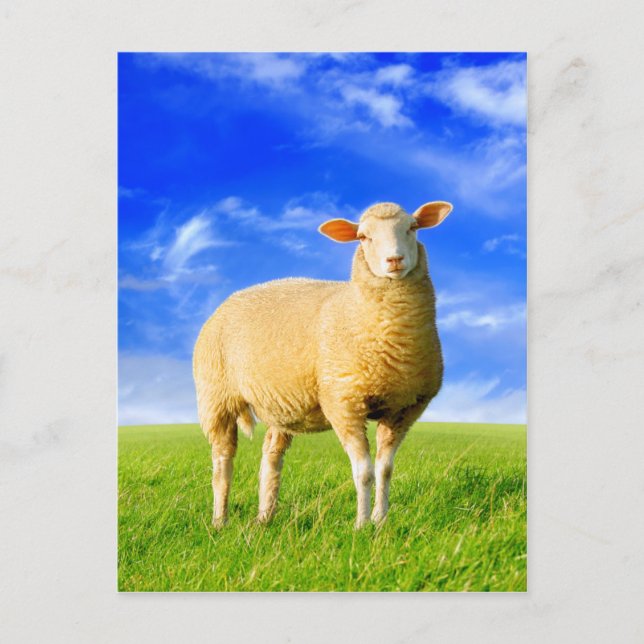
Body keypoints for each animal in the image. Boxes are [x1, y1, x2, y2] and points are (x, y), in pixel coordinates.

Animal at [193, 200, 453, 528]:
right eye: (363, 236)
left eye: (413, 227)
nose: (394, 260)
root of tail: (228, 299)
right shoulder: (343, 403)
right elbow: (363, 472)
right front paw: (361, 525)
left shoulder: (404, 409)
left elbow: (384, 469)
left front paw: (380, 521)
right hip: (216, 397)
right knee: (222, 461)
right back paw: (220, 519)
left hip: (281, 404)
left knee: (271, 456)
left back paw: (265, 516)